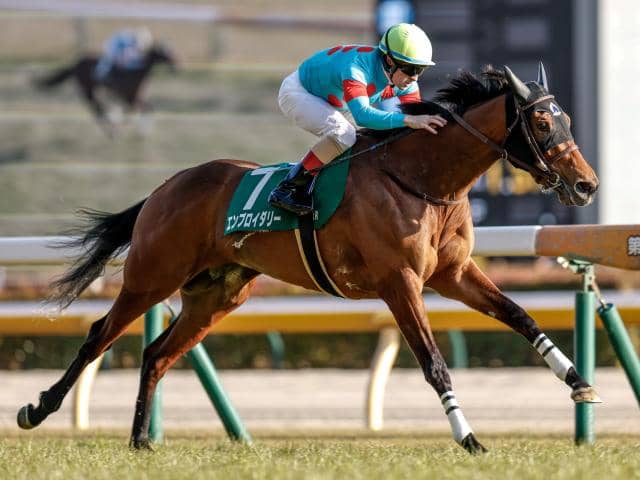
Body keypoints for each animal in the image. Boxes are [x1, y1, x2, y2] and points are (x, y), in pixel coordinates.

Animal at [17, 65, 600, 454]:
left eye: (569, 118)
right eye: (542, 125)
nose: (586, 185)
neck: (424, 181)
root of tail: (165, 187)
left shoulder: (452, 274)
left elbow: (521, 317)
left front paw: (579, 382)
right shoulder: (400, 282)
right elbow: (433, 362)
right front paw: (470, 438)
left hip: (216, 295)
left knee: (156, 354)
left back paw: (141, 440)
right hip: (152, 276)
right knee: (98, 336)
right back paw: (37, 409)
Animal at [34, 43, 177, 135]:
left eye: (170, 49)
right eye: (164, 51)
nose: (176, 64)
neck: (135, 73)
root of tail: (75, 64)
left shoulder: (133, 98)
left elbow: (146, 108)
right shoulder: (130, 98)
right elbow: (142, 109)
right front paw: (139, 128)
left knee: (97, 107)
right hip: (88, 88)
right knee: (96, 107)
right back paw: (111, 129)